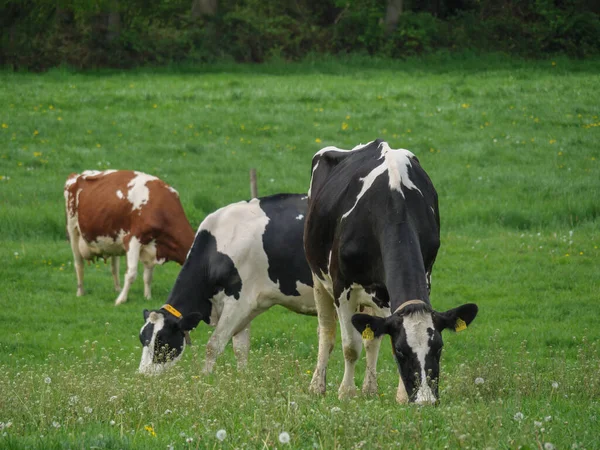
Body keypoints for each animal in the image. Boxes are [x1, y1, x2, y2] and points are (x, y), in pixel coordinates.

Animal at [63, 170, 195, 306]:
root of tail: (79, 175)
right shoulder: (133, 239)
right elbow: (131, 273)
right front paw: (121, 300)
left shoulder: (153, 247)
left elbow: (148, 275)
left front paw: (147, 297)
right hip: (73, 230)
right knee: (79, 264)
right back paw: (81, 292)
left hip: (112, 238)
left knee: (114, 267)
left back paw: (117, 289)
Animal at [138, 195, 316, 374]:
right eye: (142, 338)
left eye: (162, 342)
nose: (143, 375)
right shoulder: (249, 307)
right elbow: (240, 349)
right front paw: (242, 377)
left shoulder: (238, 303)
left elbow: (213, 346)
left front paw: (205, 377)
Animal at [304, 138, 478, 404]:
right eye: (401, 351)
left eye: (438, 348)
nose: (426, 400)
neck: (394, 204)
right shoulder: (342, 285)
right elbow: (350, 346)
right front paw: (346, 392)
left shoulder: (424, 275)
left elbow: (373, 338)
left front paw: (402, 396)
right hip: (318, 279)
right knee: (327, 332)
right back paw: (317, 386)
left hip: (377, 295)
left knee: (371, 339)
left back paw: (370, 389)